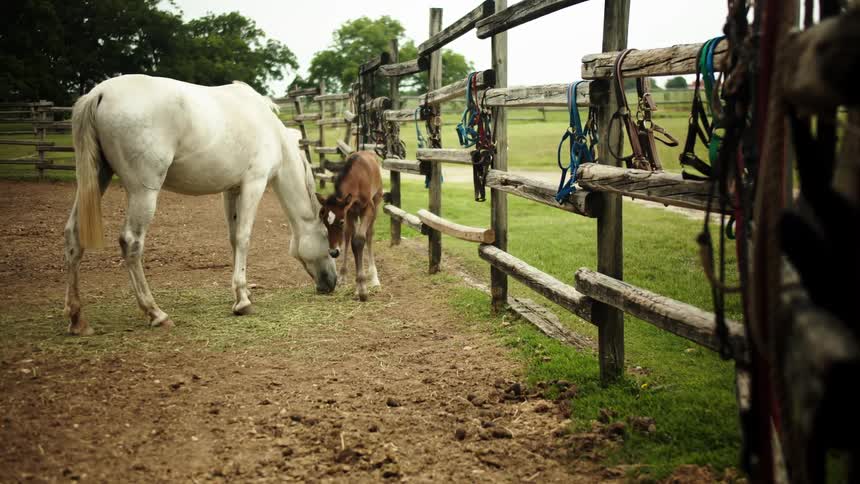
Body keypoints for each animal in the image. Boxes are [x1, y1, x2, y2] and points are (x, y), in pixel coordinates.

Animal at [64, 74, 337, 335]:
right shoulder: (254, 184)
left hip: (97, 179)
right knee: (131, 242)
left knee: (73, 236)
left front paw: (243, 292)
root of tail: (99, 94)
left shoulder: (232, 191)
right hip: (143, 192)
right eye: (330, 244)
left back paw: (78, 320)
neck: (272, 132)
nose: (332, 283)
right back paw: (156, 313)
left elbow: (233, 238)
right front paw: (242, 301)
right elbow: (244, 238)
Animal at [315, 151, 383, 301]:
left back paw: (374, 277)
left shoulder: (368, 208)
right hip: (355, 214)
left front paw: (362, 289)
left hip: (377, 201)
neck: (357, 178)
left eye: (340, 222)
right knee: (348, 235)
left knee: (369, 235)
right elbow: (351, 240)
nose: (333, 252)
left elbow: (360, 240)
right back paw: (343, 276)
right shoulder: (349, 211)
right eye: (325, 222)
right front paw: (354, 285)